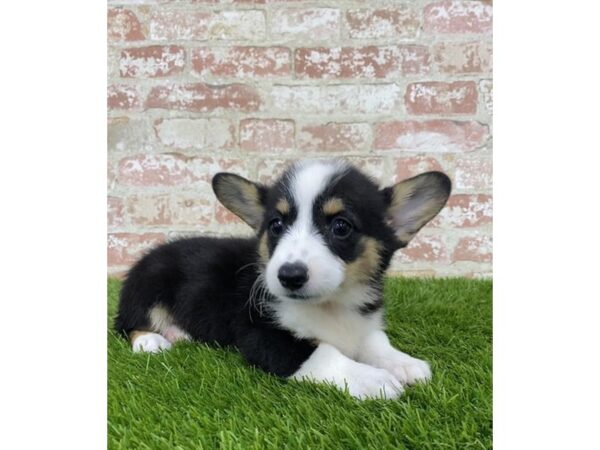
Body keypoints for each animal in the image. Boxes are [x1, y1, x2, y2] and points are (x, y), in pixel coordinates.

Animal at [115, 160, 450, 400]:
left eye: (341, 226)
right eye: (276, 225)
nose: (289, 275)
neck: (331, 304)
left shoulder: (364, 323)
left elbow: (376, 342)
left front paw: (404, 363)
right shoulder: (263, 336)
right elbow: (323, 353)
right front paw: (374, 378)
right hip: (149, 283)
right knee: (127, 324)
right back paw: (152, 340)